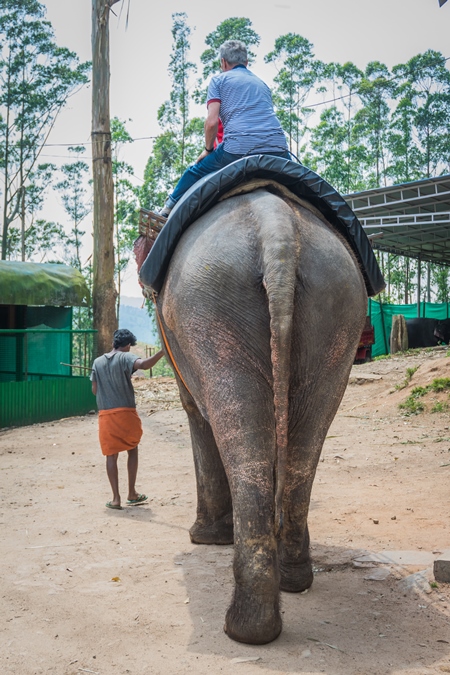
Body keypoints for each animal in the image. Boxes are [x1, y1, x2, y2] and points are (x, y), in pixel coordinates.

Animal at [144, 182, 370, 648]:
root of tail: (277, 227)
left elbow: (195, 412)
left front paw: (204, 539)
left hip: (208, 305)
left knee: (236, 428)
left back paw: (246, 628)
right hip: (337, 306)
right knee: (305, 441)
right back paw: (293, 579)